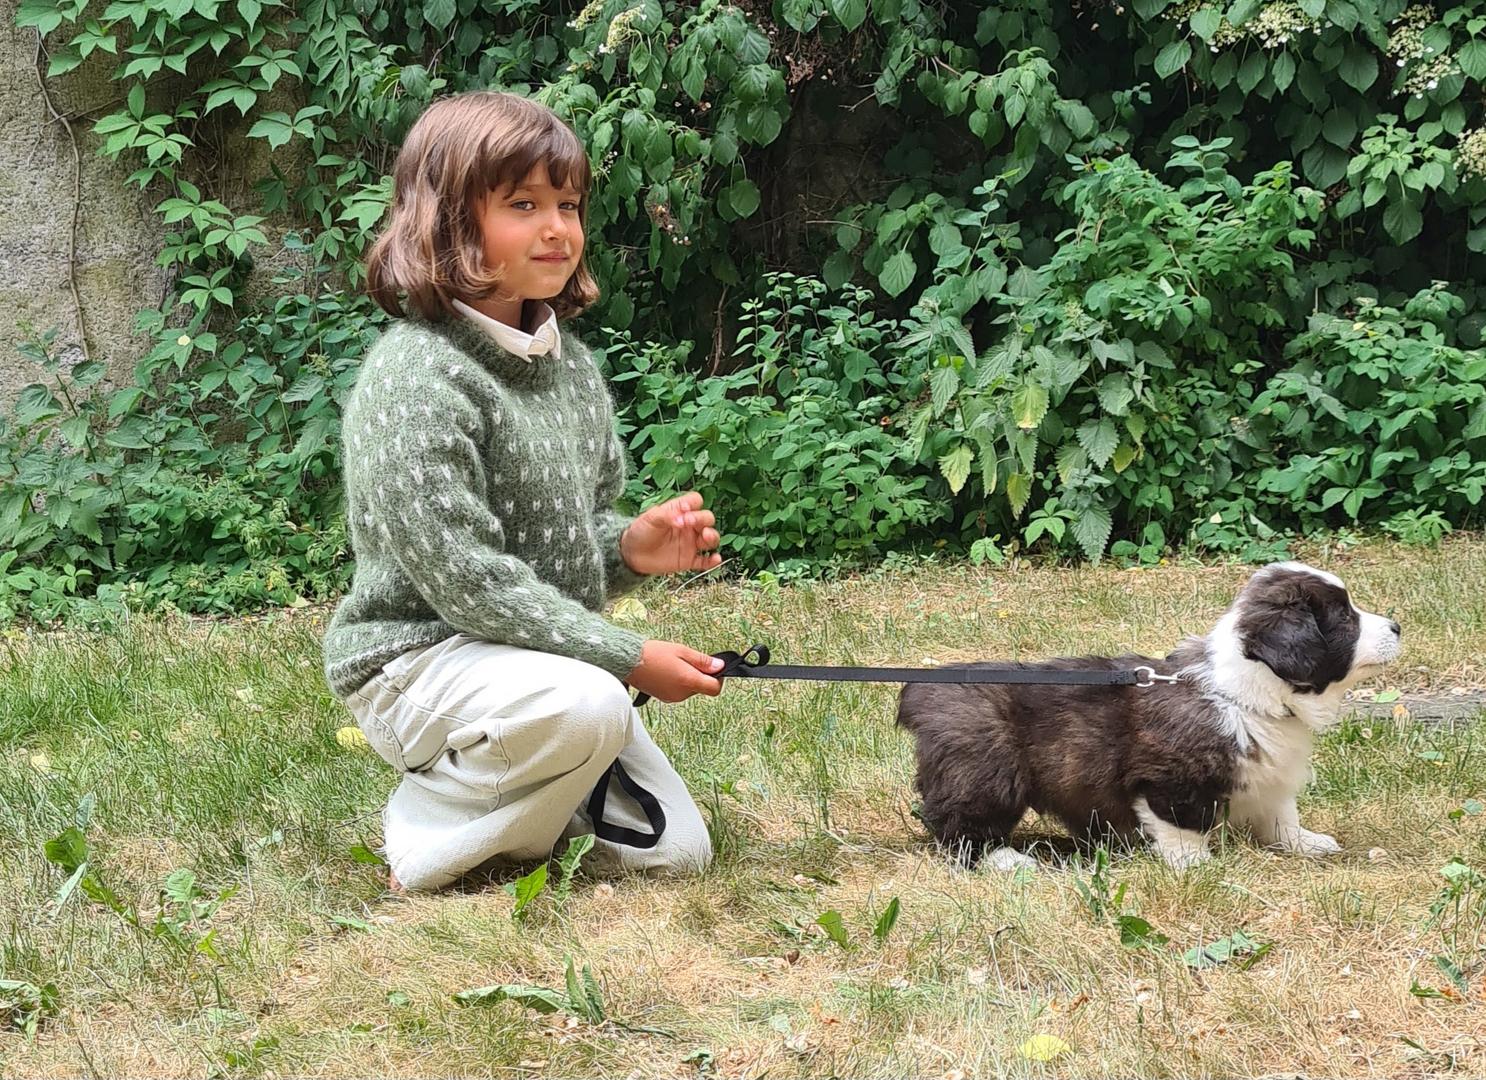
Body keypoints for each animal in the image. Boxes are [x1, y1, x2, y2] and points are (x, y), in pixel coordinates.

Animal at [895, 562, 1402, 871]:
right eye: (1344, 617)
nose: (1397, 626)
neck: (1244, 693)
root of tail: (922, 690)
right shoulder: (1169, 780)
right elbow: (1182, 827)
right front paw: (1196, 866)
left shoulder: (1269, 773)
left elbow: (1280, 815)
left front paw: (1305, 842)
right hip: (987, 771)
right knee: (958, 829)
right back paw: (1006, 861)